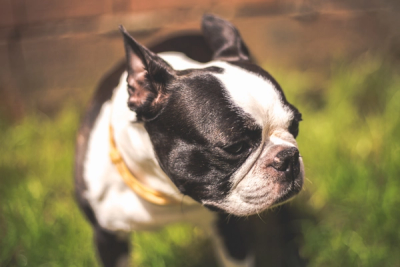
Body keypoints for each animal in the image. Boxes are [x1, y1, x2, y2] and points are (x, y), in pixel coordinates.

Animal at [74, 14, 304, 267]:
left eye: (295, 126)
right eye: (236, 147)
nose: (289, 156)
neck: (166, 192)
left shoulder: (231, 233)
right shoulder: (107, 238)